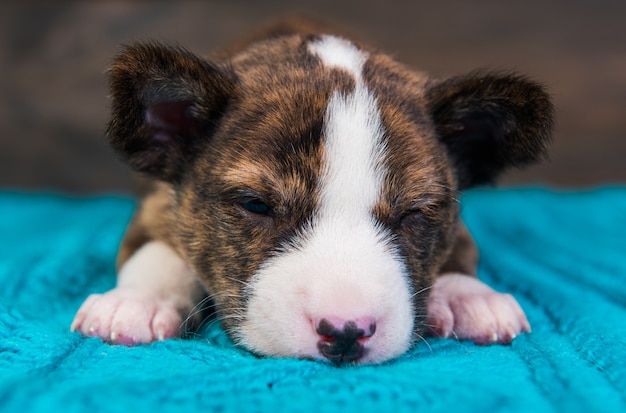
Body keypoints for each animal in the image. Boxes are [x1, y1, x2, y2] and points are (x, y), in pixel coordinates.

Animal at [72, 20, 552, 364]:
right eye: (256, 205)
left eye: (414, 214)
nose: (345, 332)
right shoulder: (153, 206)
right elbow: (155, 253)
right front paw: (137, 302)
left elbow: (459, 253)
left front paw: (472, 296)